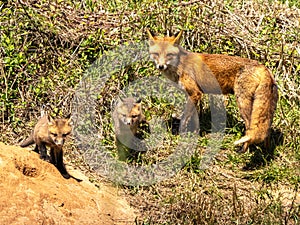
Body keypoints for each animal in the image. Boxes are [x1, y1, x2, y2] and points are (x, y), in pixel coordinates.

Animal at [148, 29, 278, 152]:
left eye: (169, 54)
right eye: (156, 54)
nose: (160, 66)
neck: (180, 64)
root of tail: (263, 66)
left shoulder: (195, 93)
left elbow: (185, 118)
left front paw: (182, 135)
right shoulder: (191, 95)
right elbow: (195, 119)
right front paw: (195, 134)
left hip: (242, 101)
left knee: (250, 126)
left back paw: (244, 150)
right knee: (266, 129)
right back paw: (265, 152)